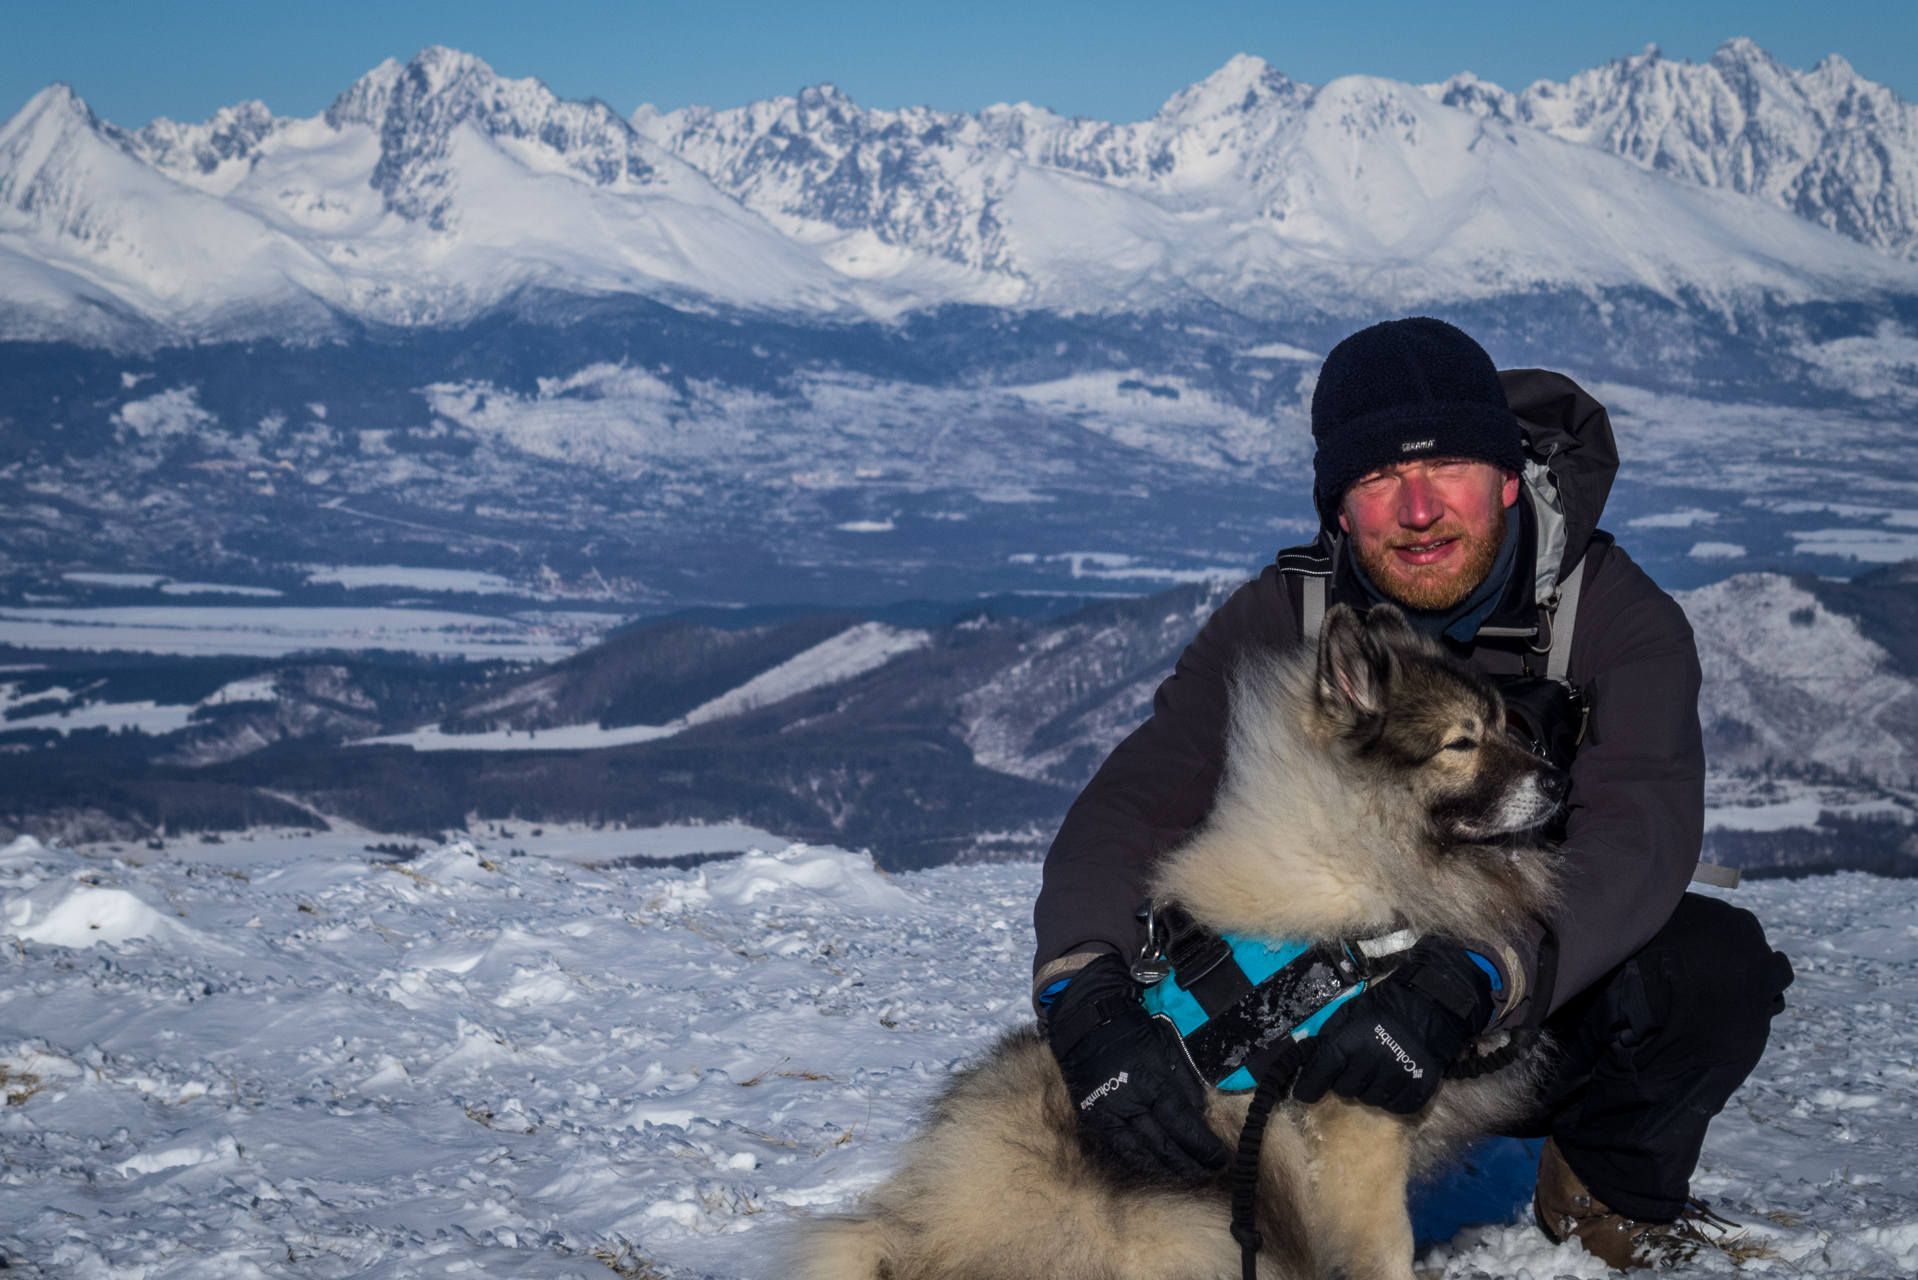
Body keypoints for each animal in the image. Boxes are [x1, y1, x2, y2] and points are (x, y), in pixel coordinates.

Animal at [801, 602, 1565, 1280]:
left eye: (1507, 725)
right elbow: (1384, 1248)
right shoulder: (1358, 1126)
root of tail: (922, 1247)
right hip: (1189, 1229)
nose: (1559, 779)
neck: (1360, 857)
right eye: (1461, 742)